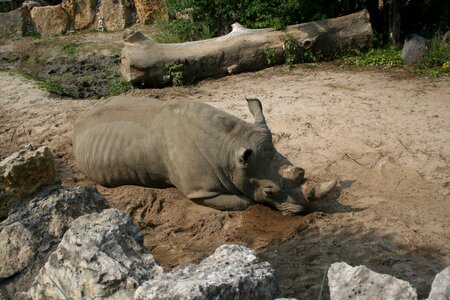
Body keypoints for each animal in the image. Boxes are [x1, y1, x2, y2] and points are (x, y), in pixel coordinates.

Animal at [74, 96, 334, 213]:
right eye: (270, 191)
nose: (304, 209)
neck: (228, 147)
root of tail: (80, 120)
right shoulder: (200, 191)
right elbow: (245, 200)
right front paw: (250, 200)